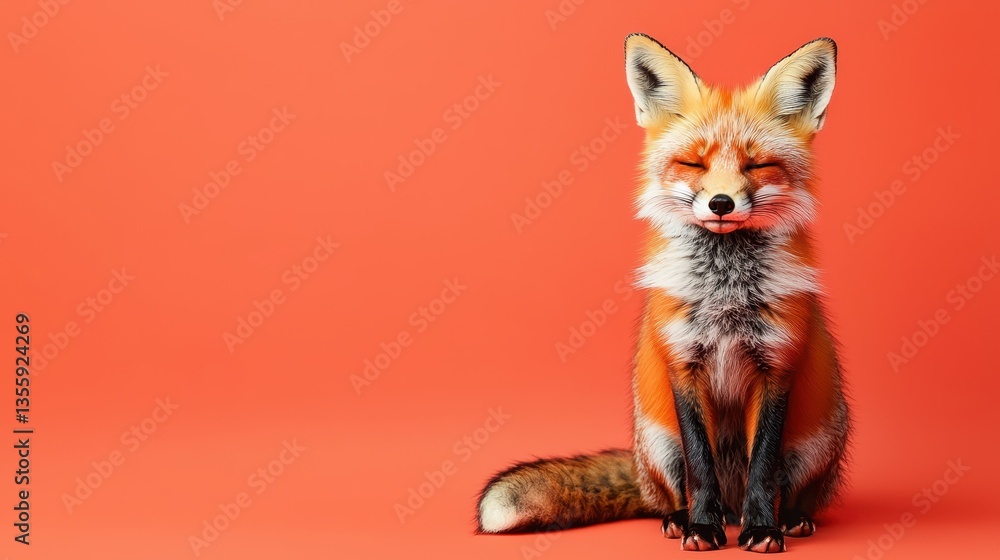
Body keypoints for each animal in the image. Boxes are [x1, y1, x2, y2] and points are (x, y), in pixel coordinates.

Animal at [476, 35, 850, 553]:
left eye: (757, 164)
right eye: (693, 162)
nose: (720, 203)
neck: (724, 291)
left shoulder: (776, 367)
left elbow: (763, 468)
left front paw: (762, 530)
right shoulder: (682, 364)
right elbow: (699, 466)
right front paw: (702, 529)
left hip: (816, 442)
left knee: (791, 491)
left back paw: (787, 518)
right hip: (657, 442)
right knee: (671, 492)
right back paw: (683, 517)